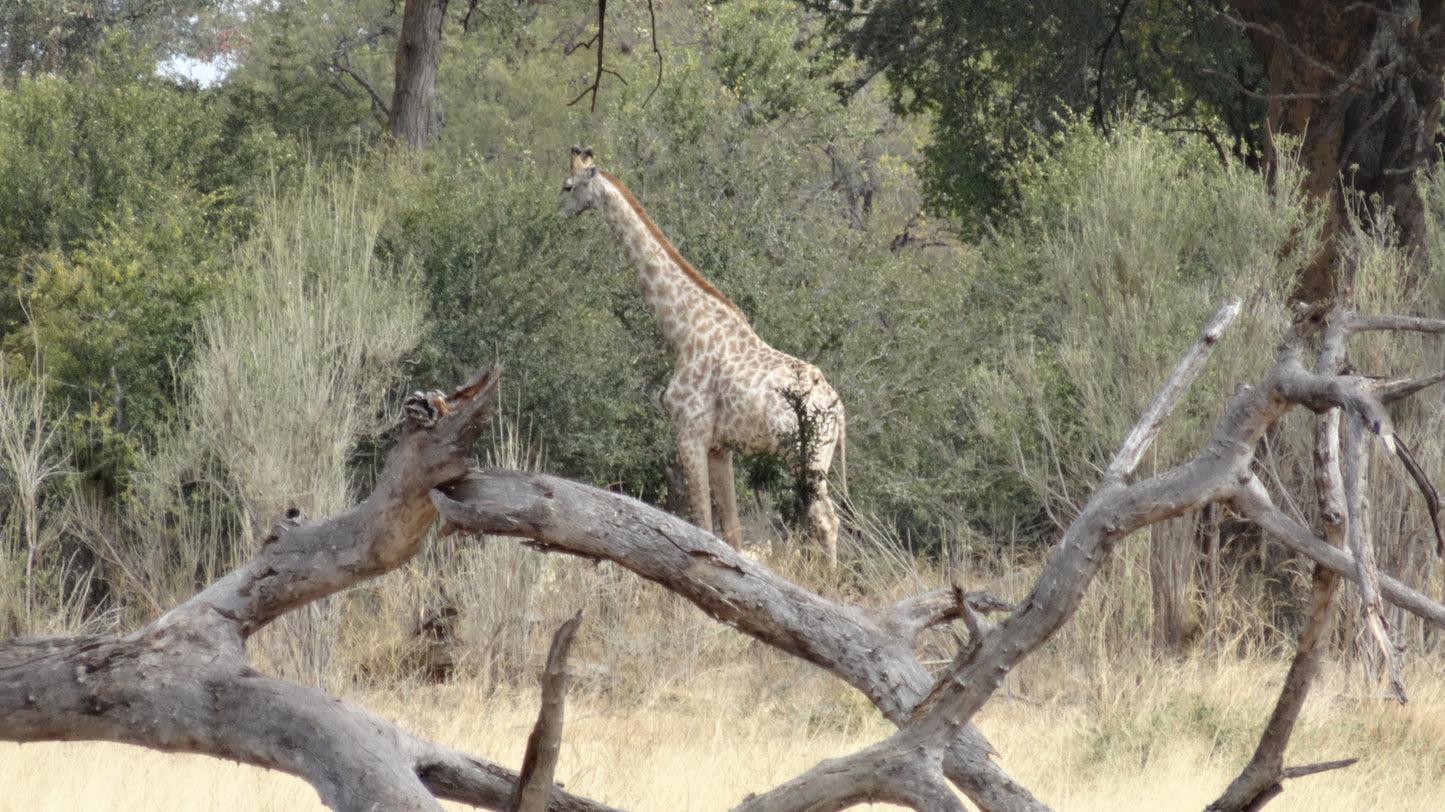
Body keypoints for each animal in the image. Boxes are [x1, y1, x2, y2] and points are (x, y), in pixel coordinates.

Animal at [554, 145, 843, 563]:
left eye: (567, 185)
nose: (555, 214)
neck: (683, 330)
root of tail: (839, 408)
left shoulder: (689, 432)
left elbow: (702, 527)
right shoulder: (720, 446)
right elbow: (732, 532)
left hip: (804, 455)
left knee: (825, 520)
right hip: (821, 456)